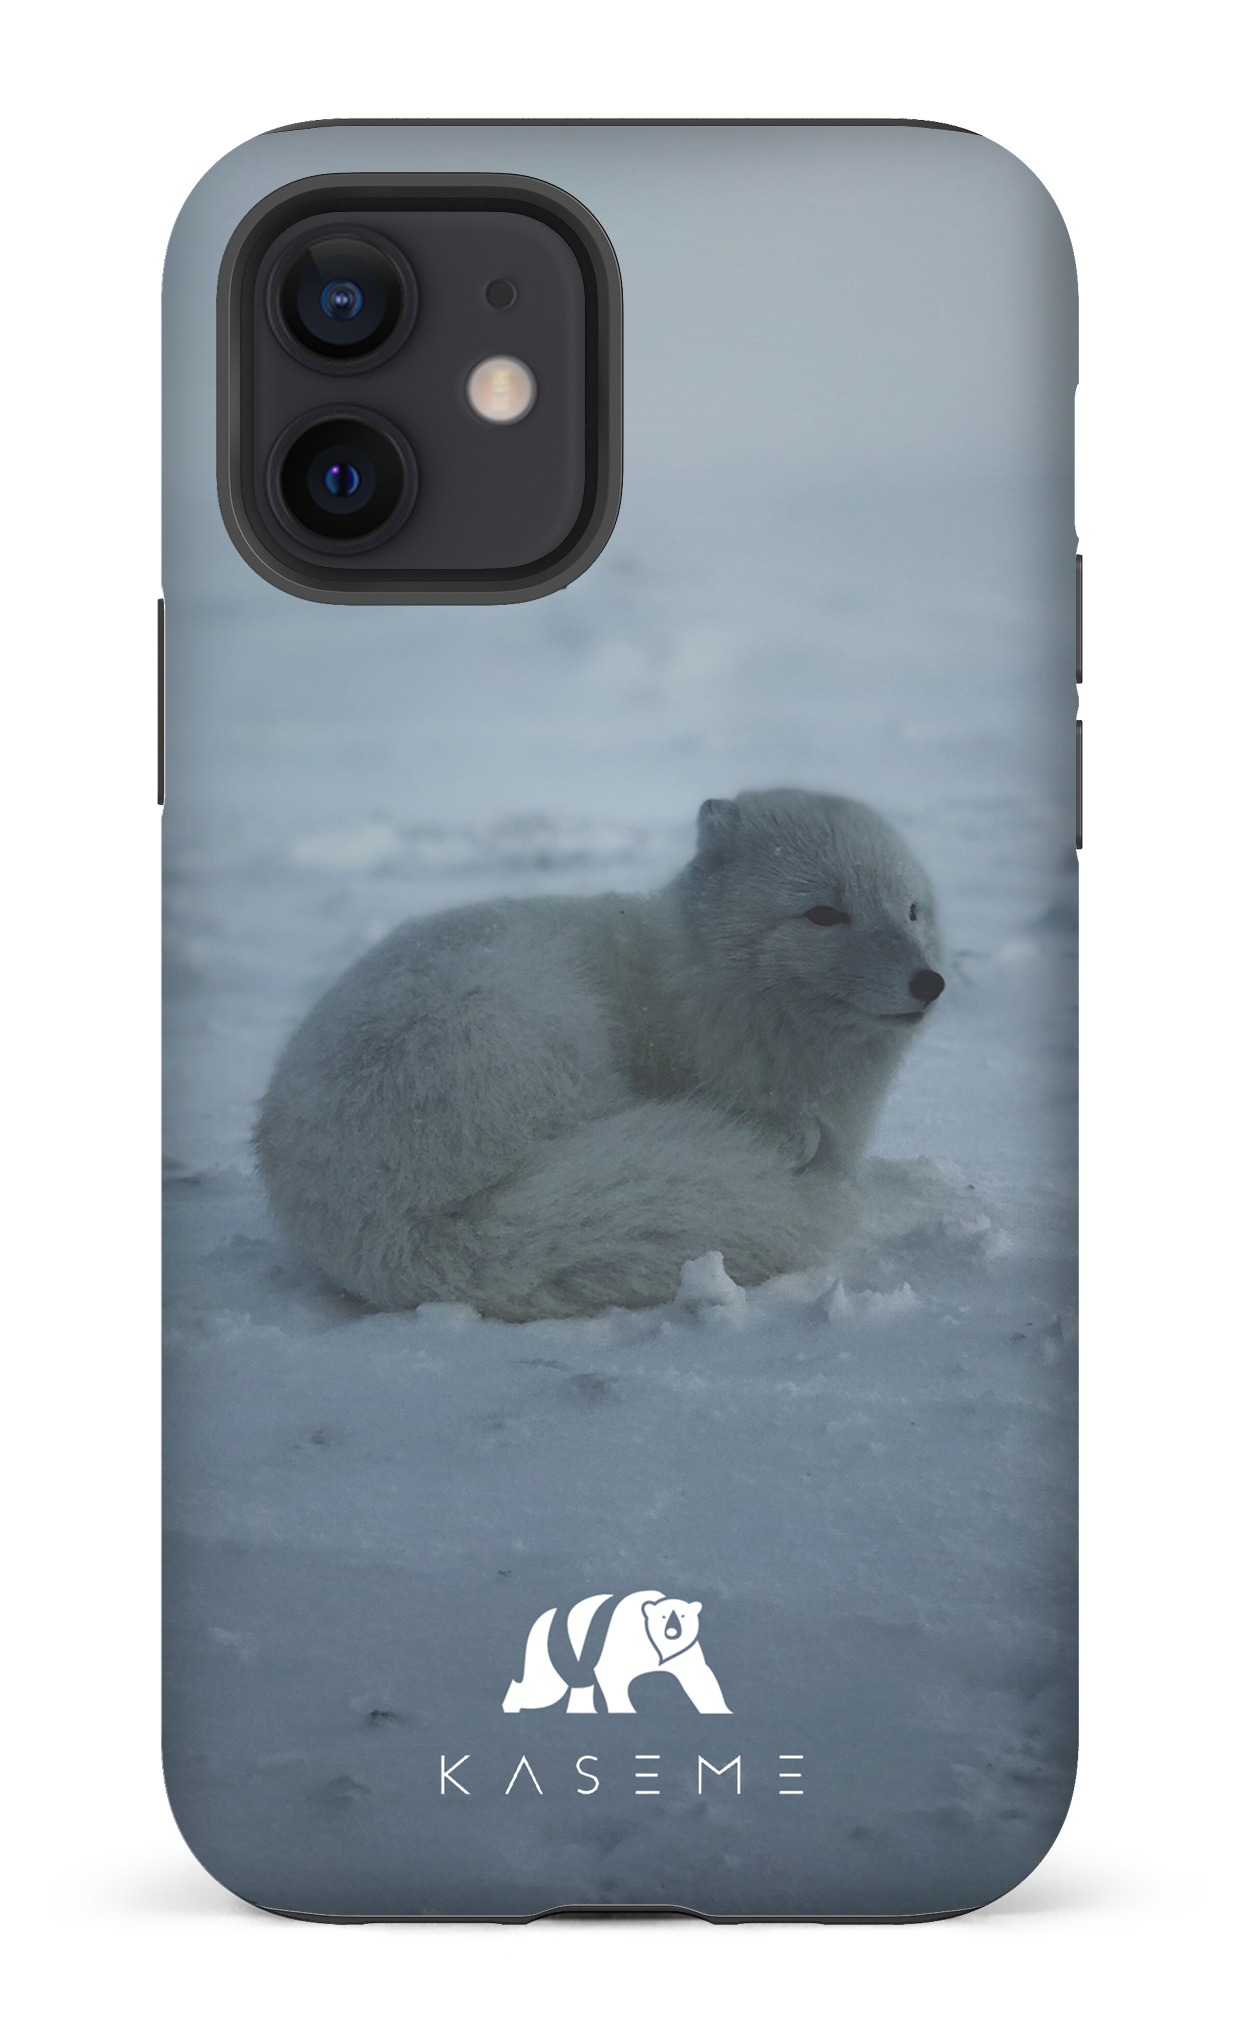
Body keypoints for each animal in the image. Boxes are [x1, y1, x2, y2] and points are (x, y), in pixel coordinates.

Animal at [255, 789, 945, 1320]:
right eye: (824, 914)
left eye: (911, 910)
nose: (930, 982)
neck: (702, 983)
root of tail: (394, 1230)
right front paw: (790, 1138)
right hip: (534, 1027)